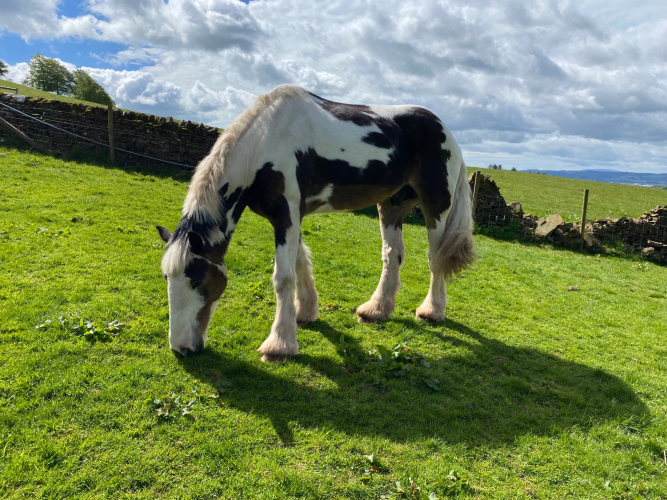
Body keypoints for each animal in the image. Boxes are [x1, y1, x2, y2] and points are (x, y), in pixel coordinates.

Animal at [157, 84, 476, 361]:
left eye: (197, 280)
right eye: (167, 278)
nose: (181, 348)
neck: (266, 141)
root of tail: (445, 130)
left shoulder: (286, 212)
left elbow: (283, 277)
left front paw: (279, 345)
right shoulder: (289, 216)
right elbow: (300, 263)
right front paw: (305, 312)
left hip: (436, 206)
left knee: (435, 259)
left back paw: (432, 311)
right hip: (392, 204)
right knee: (393, 255)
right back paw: (377, 310)